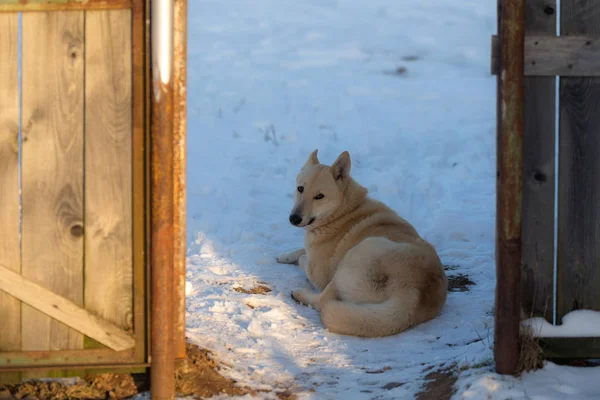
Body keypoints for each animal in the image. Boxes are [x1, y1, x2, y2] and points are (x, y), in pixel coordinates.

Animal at [276, 150, 446, 338]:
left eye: (319, 196)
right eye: (300, 189)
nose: (294, 218)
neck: (342, 212)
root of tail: (412, 296)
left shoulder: (319, 274)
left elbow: (304, 256)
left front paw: (296, 257)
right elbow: (300, 250)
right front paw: (284, 256)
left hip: (358, 253)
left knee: (323, 301)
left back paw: (300, 294)